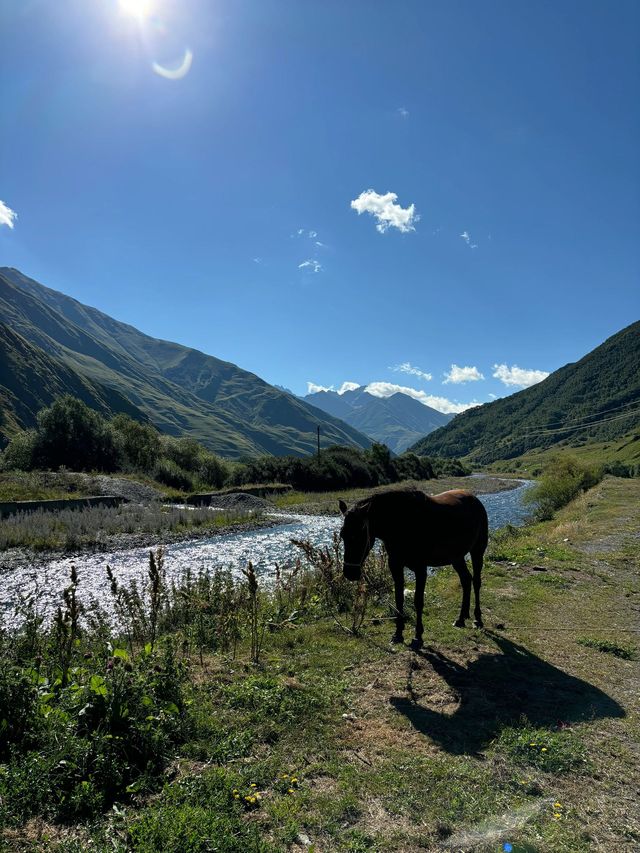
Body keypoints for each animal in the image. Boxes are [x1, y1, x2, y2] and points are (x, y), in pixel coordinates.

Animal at [338, 486, 488, 644]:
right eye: (342, 535)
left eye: (359, 535)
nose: (349, 573)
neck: (405, 524)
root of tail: (474, 499)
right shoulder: (395, 566)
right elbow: (399, 599)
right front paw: (398, 634)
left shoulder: (420, 569)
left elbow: (418, 601)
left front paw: (418, 636)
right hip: (456, 558)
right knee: (466, 580)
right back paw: (461, 618)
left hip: (477, 551)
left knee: (476, 581)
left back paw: (477, 619)